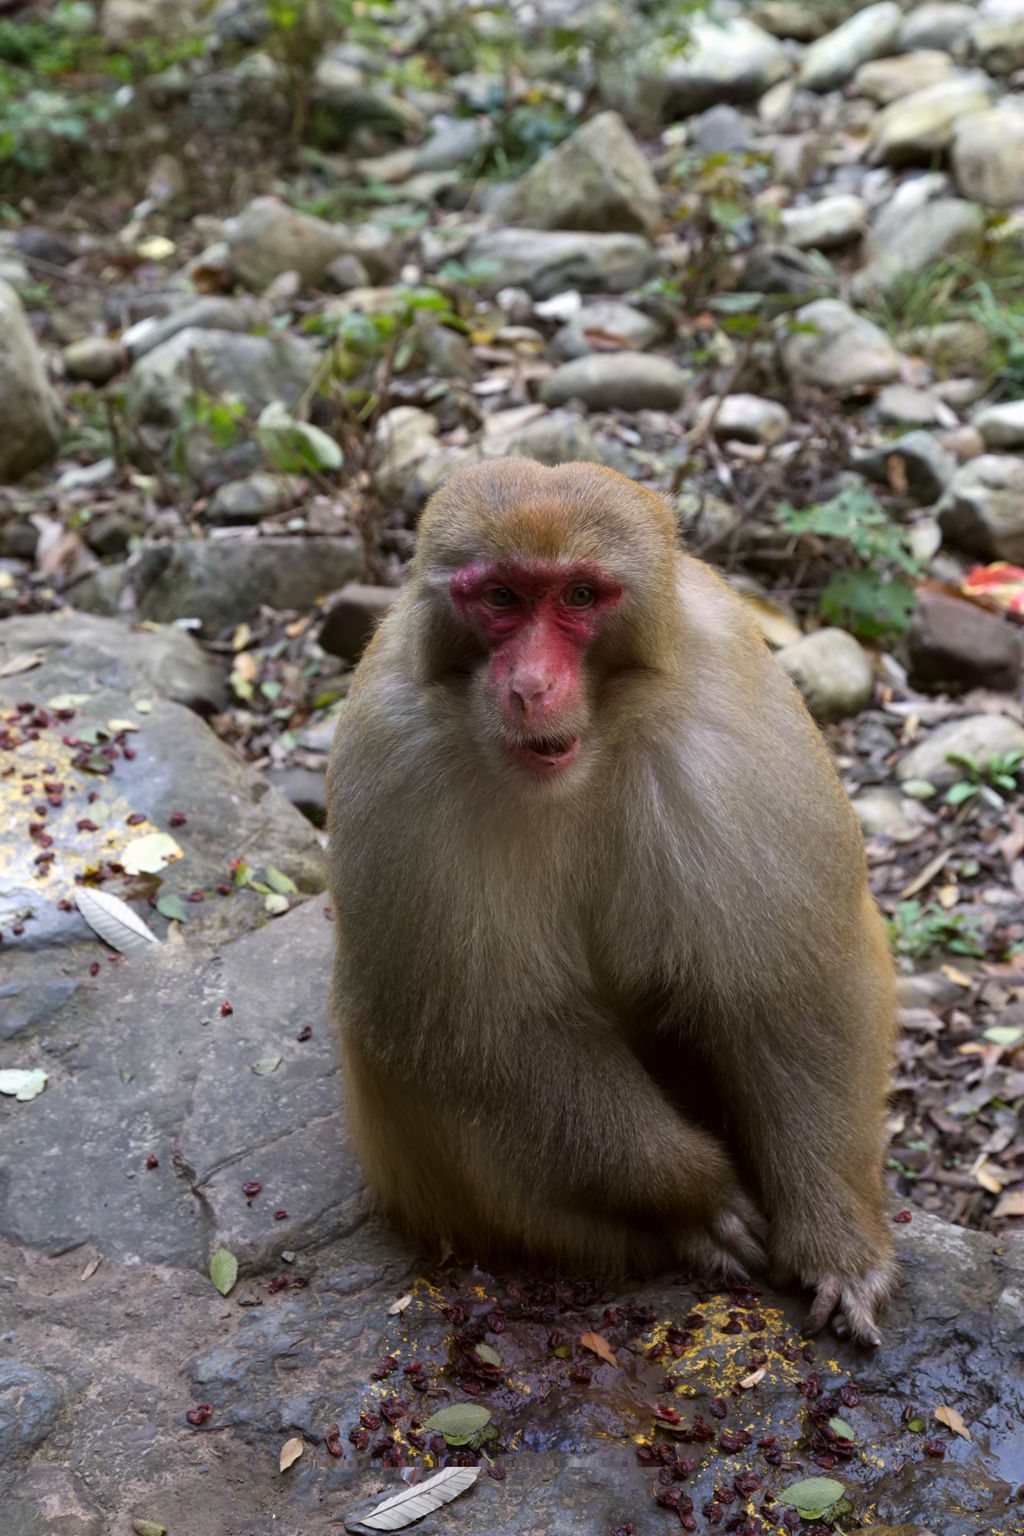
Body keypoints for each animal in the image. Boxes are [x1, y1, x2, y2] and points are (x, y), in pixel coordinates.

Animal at [328, 451, 896, 1345]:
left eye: (580, 596)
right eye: (501, 598)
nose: (529, 685)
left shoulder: (737, 718)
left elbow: (790, 984)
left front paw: (836, 1237)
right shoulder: (393, 756)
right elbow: (482, 1032)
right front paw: (699, 1193)